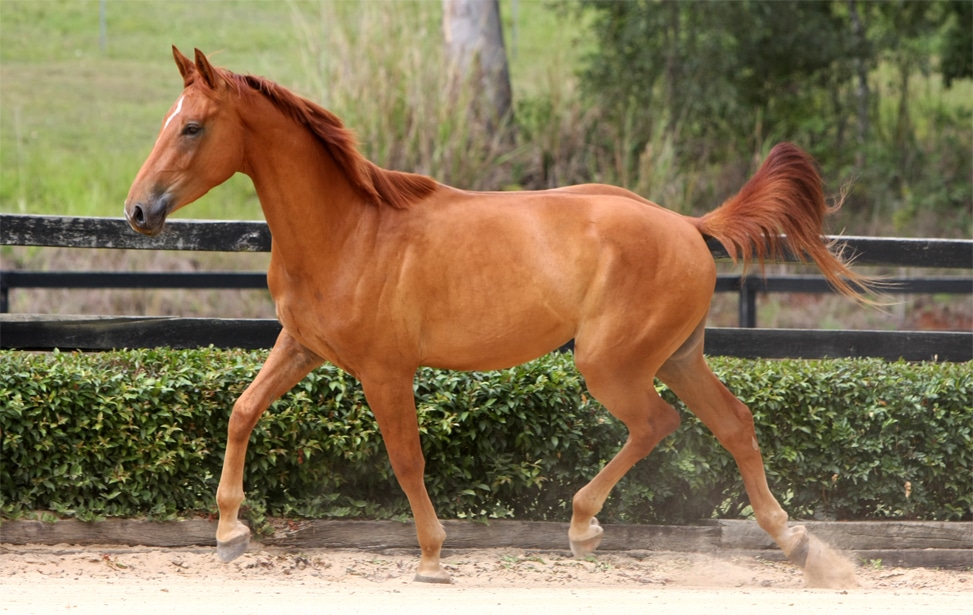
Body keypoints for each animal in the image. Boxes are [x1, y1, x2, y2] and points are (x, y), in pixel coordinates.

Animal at [126, 47, 873, 587]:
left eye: (191, 126)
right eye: (164, 120)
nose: (137, 211)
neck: (349, 233)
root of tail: (689, 226)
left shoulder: (384, 370)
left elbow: (406, 459)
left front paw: (431, 557)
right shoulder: (301, 346)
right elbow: (242, 410)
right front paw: (229, 533)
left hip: (611, 363)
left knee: (658, 423)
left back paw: (583, 526)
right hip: (678, 356)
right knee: (734, 423)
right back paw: (799, 545)